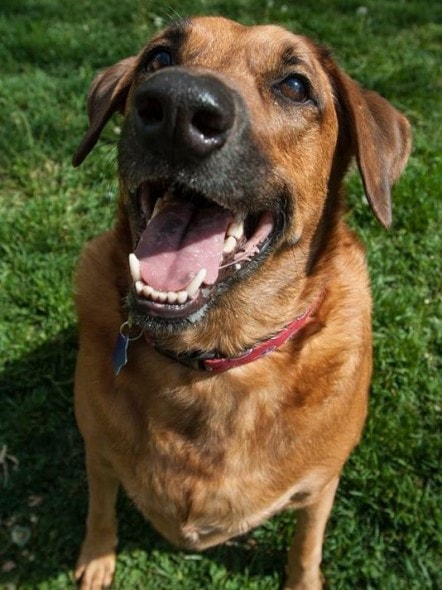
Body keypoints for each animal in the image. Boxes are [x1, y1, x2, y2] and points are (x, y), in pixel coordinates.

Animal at [71, 16, 410, 588]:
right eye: (159, 59)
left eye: (295, 86)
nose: (178, 107)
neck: (213, 361)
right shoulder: (97, 450)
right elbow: (98, 508)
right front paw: (96, 558)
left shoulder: (321, 486)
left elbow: (306, 545)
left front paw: (303, 580)